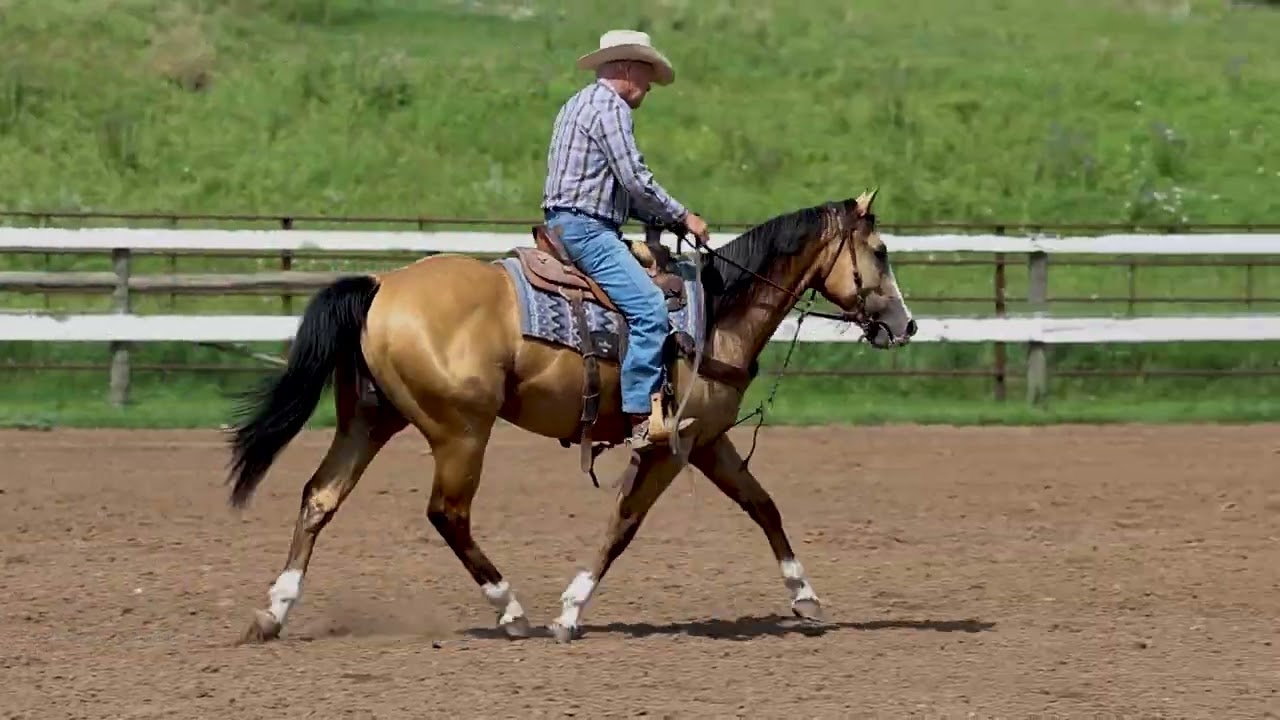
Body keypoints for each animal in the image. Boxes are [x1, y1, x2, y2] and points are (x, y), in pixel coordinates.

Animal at [225, 189, 916, 645]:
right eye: (881, 251)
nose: (905, 325)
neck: (718, 312)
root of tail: (383, 284)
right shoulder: (668, 445)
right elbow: (624, 524)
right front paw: (570, 610)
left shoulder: (705, 439)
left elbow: (763, 505)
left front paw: (805, 597)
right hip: (460, 432)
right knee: (447, 514)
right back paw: (511, 611)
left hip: (370, 420)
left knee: (320, 497)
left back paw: (273, 613)